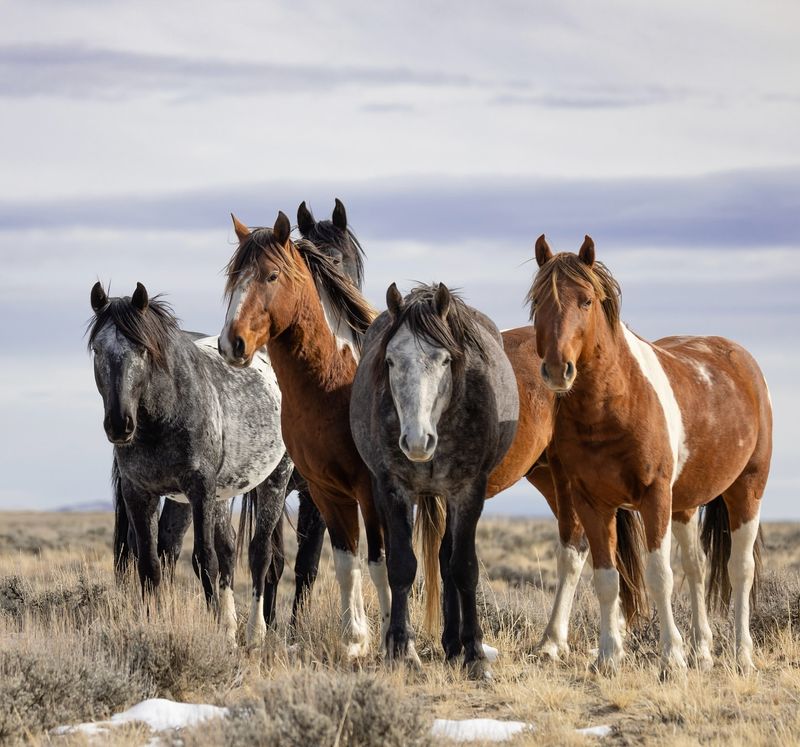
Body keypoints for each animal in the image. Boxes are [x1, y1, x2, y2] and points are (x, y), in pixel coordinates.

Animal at [219, 212, 388, 660]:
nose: (232, 343)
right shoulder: (318, 488)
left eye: (272, 274)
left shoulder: (347, 489)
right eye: (233, 277)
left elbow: (314, 563)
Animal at [350, 282, 520, 676]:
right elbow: (402, 566)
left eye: (444, 360)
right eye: (391, 361)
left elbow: (464, 567)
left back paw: (455, 645)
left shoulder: (469, 491)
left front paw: (474, 653)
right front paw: (401, 650)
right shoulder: (393, 489)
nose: (417, 441)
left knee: (447, 558)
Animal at [528, 235, 772, 676]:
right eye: (538, 300)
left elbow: (660, 575)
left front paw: (670, 658)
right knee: (697, 567)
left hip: (747, 489)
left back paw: (741, 655)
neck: (612, 405)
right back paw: (702, 651)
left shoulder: (654, 497)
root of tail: (740, 357)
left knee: (739, 569)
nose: (557, 370)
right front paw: (608, 657)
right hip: (686, 505)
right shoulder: (592, 503)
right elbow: (607, 579)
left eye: (586, 300)